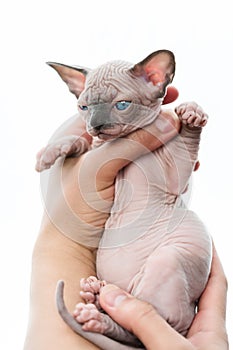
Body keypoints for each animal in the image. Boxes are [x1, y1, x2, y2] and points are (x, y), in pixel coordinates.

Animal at [36, 50, 211, 350]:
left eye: (122, 105)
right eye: (84, 108)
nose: (96, 126)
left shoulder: (176, 178)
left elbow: (187, 144)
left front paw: (191, 113)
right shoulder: (94, 148)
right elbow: (80, 144)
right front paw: (51, 152)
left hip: (169, 260)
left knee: (141, 327)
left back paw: (97, 314)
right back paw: (95, 297)